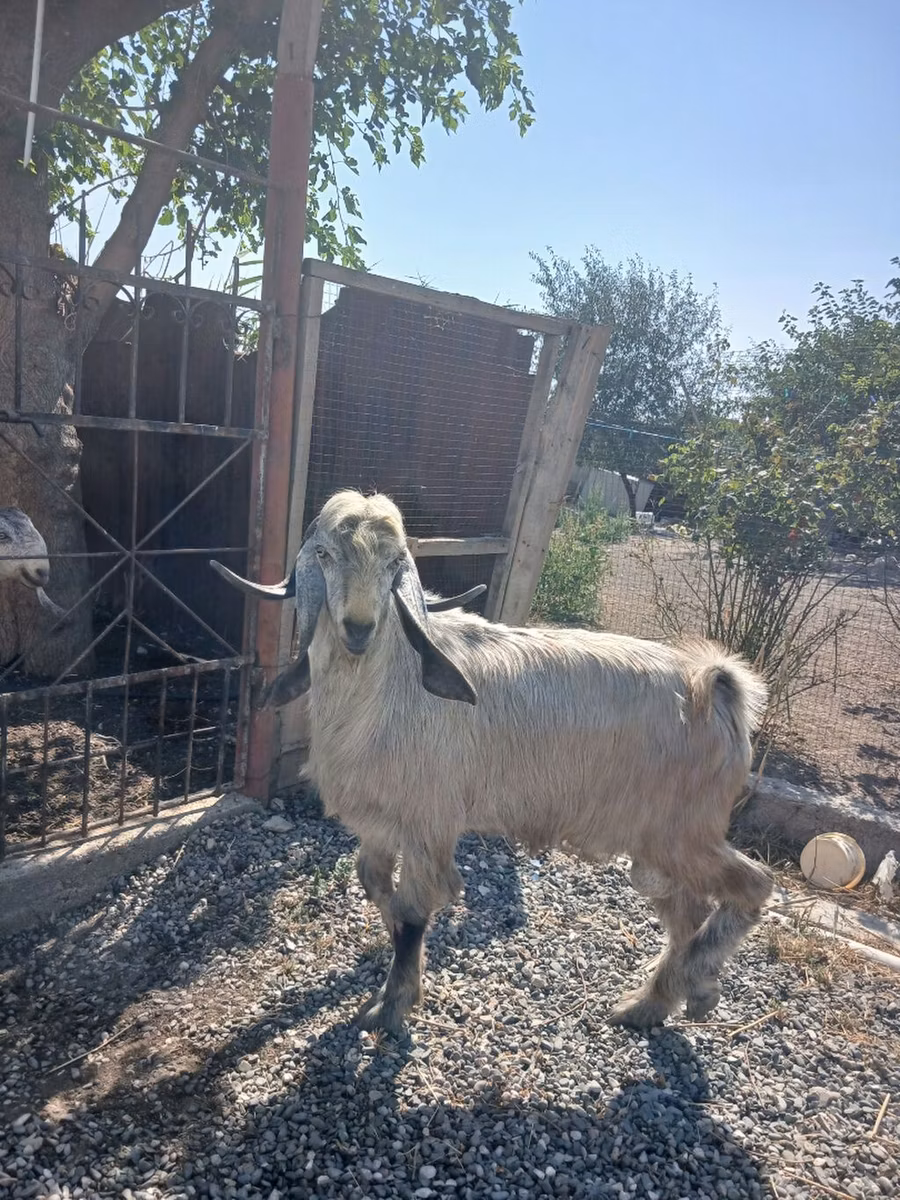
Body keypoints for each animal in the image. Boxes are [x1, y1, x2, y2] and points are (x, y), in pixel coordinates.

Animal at [212, 491, 773, 1034]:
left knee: (752, 885)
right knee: (688, 911)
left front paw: (392, 1007)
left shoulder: (429, 822)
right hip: (657, 848)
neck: (388, 684)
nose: (358, 629)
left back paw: (697, 982)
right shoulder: (383, 822)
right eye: (325, 555)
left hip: (683, 832)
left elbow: (414, 912)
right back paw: (658, 1002)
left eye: (395, 562)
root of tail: (717, 687)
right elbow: (374, 882)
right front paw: (406, 966)